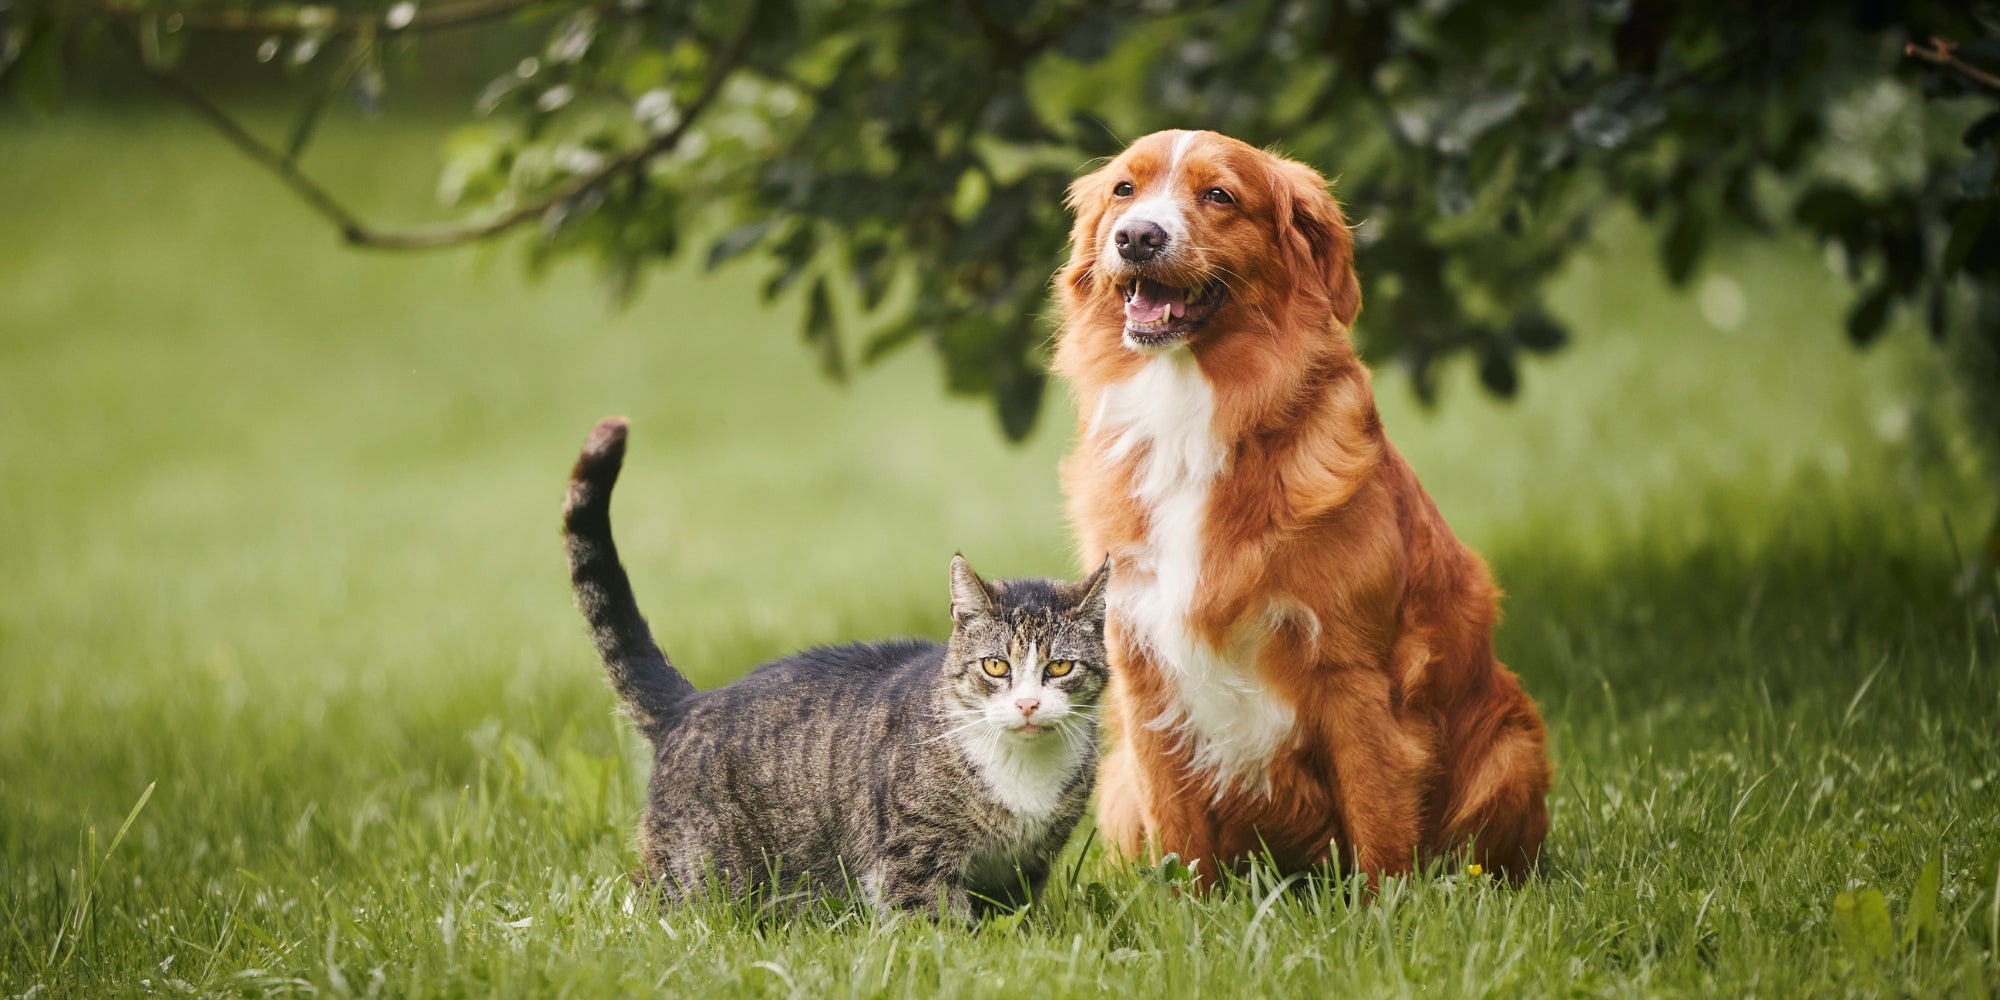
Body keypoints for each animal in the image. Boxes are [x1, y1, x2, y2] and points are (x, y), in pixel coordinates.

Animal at [564, 416, 1112, 920]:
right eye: (996, 665)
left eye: (1060, 667)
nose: (1027, 704)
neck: (1024, 775)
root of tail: (690, 703)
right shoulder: (913, 857)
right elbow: (936, 925)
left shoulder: (1025, 867)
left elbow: (1011, 919)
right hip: (697, 871)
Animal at [1056, 129, 1552, 888]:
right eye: (1123, 190)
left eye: (1220, 195)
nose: (1137, 236)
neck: (1192, 412)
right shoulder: (1144, 672)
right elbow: (1178, 840)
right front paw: (1186, 911)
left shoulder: (1354, 671)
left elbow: (1379, 822)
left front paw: (1386, 912)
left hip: (1511, 751)